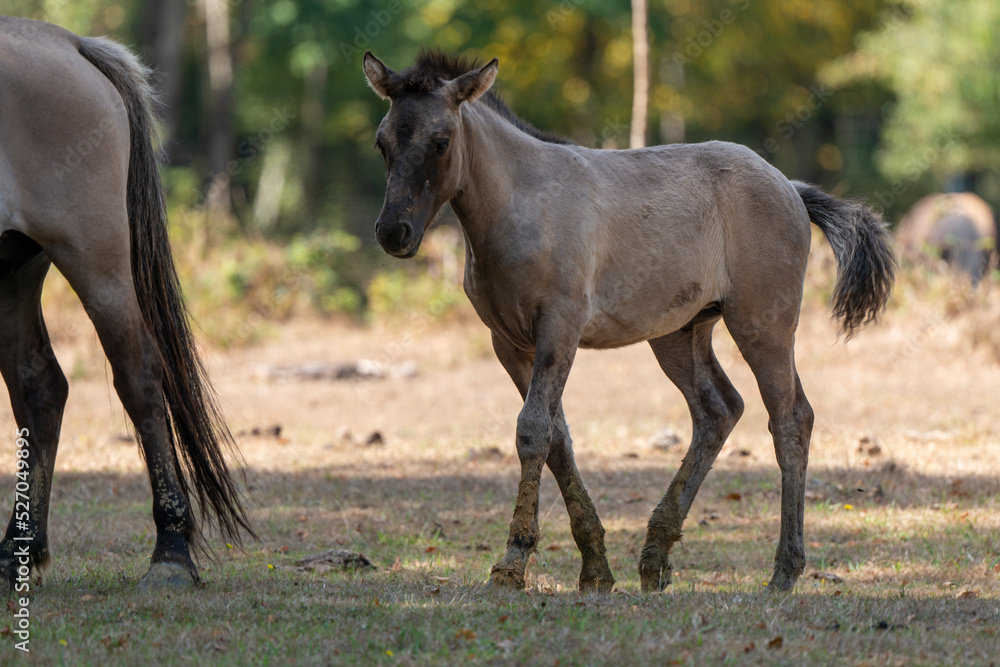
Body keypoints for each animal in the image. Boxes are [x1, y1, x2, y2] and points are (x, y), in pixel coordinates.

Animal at [0, 17, 253, 590]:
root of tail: (69, 43)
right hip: (10, 272)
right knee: (38, 388)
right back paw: (14, 555)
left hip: (94, 261)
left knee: (139, 377)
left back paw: (171, 553)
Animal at [363, 50, 895, 594]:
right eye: (382, 142)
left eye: (441, 141)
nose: (393, 232)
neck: (519, 205)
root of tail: (790, 186)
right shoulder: (508, 343)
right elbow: (557, 440)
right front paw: (595, 567)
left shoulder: (560, 328)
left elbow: (532, 430)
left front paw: (512, 563)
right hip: (680, 334)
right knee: (719, 410)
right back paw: (656, 557)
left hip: (762, 324)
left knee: (790, 419)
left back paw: (783, 573)